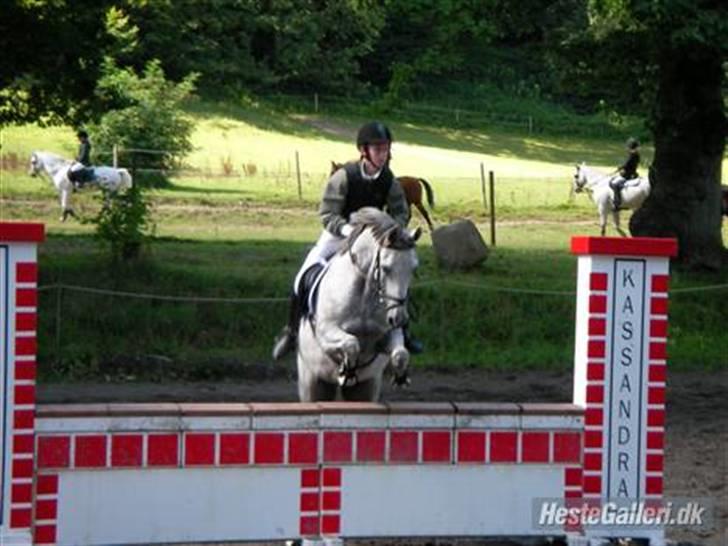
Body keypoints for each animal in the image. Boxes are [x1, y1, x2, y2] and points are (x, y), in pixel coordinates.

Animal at [296, 206, 420, 402]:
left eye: (414, 269)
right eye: (385, 268)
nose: (399, 319)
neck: (365, 296)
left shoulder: (386, 336)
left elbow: (401, 354)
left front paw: (401, 377)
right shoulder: (326, 332)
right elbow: (351, 343)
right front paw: (347, 371)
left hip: (366, 387)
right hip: (312, 381)